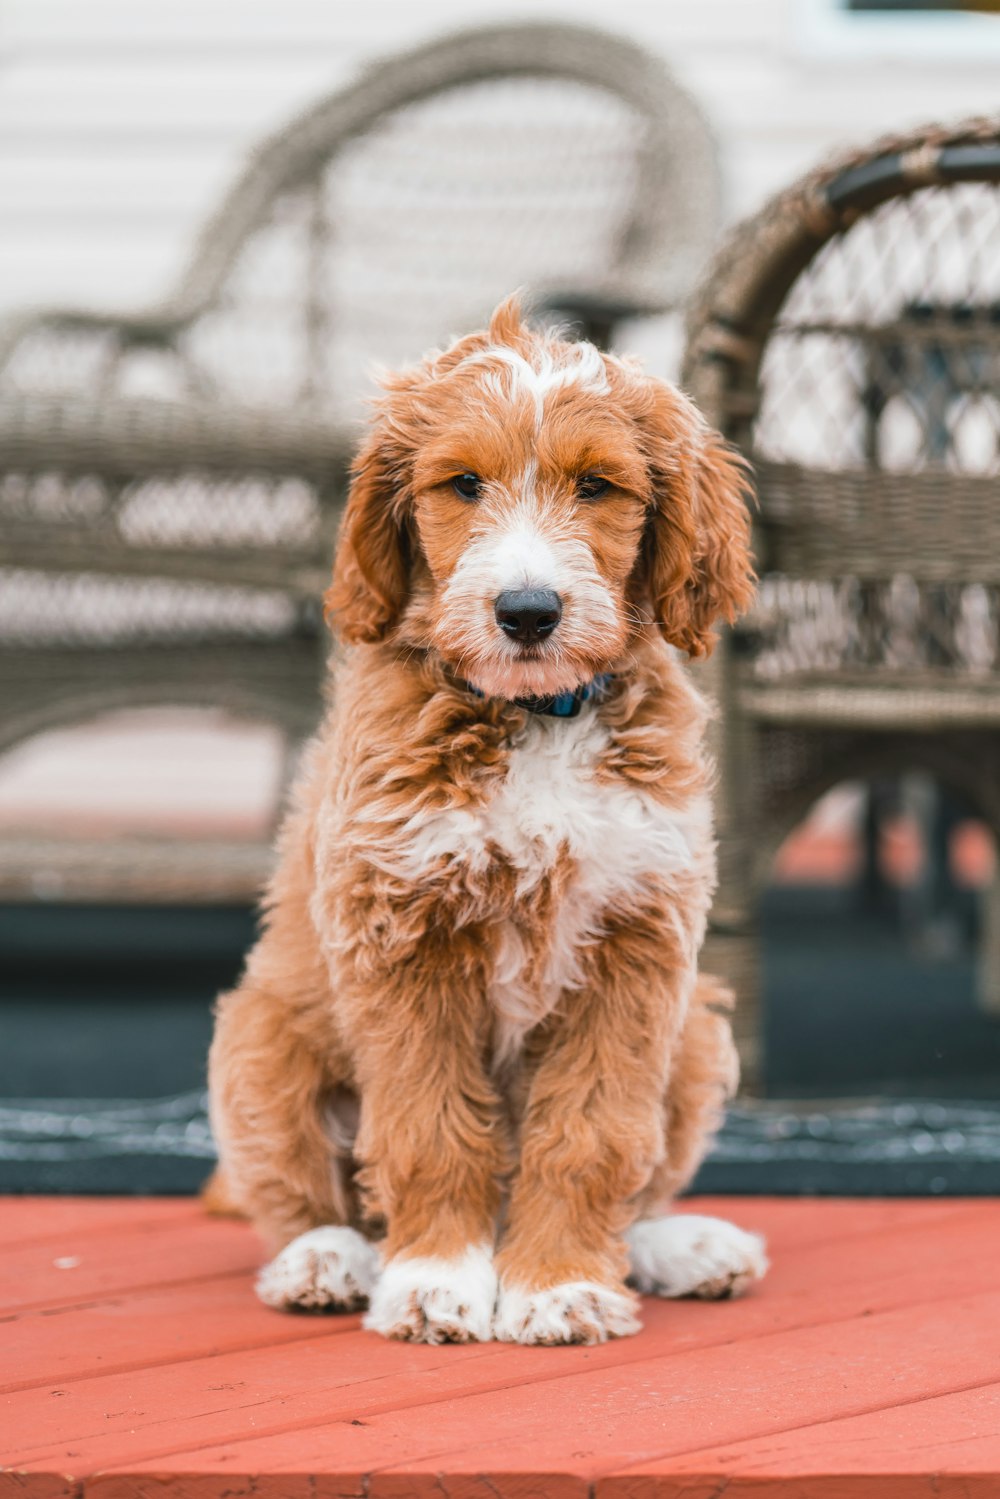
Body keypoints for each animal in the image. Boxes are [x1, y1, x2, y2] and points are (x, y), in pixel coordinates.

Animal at [211, 295, 773, 1349]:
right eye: (463, 484)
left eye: (597, 486)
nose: (527, 610)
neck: (538, 714)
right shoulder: (401, 930)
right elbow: (429, 1131)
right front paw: (434, 1281)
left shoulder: (638, 941)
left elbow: (593, 1134)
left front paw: (559, 1284)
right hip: (260, 1039)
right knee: (302, 1192)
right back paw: (324, 1260)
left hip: (694, 1036)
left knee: (644, 1176)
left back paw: (679, 1244)